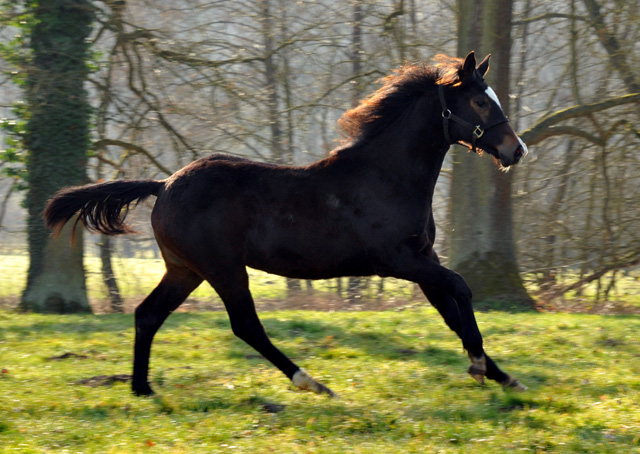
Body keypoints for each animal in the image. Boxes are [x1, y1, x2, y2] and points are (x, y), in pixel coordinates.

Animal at [45, 51, 528, 396]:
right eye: (480, 101)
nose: (516, 150)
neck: (386, 177)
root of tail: (164, 184)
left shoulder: (423, 260)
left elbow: (451, 312)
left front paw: (502, 375)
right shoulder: (398, 261)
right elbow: (462, 288)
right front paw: (479, 365)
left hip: (185, 270)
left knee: (148, 314)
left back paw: (142, 388)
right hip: (222, 269)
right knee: (245, 325)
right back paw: (311, 382)